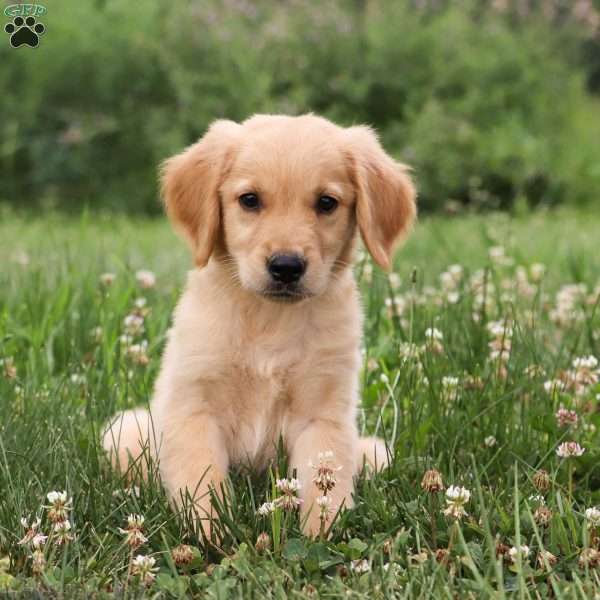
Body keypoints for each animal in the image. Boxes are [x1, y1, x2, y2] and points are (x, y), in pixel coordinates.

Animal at [103, 115, 414, 536]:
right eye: (249, 200)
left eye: (327, 203)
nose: (286, 266)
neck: (271, 319)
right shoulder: (195, 407)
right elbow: (201, 479)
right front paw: (210, 534)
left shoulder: (324, 411)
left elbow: (325, 483)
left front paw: (322, 534)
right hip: (127, 434)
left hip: (373, 451)